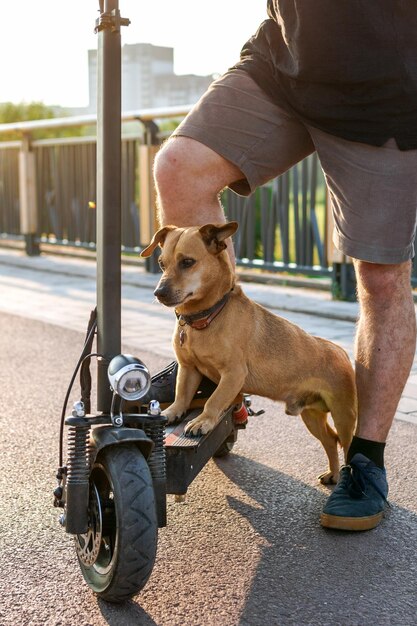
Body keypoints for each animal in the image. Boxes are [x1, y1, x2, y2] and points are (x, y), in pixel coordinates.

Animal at [141, 219, 356, 482]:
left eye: (187, 262)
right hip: (312, 417)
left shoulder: (233, 375)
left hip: (345, 417)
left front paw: (203, 421)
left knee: (347, 444)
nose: (158, 293)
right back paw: (333, 474)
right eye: (162, 264)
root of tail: (341, 352)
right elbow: (182, 394)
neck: (208, 317)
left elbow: (213, 400)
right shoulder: (188, 369)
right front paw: (173, 411)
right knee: (330, 440)